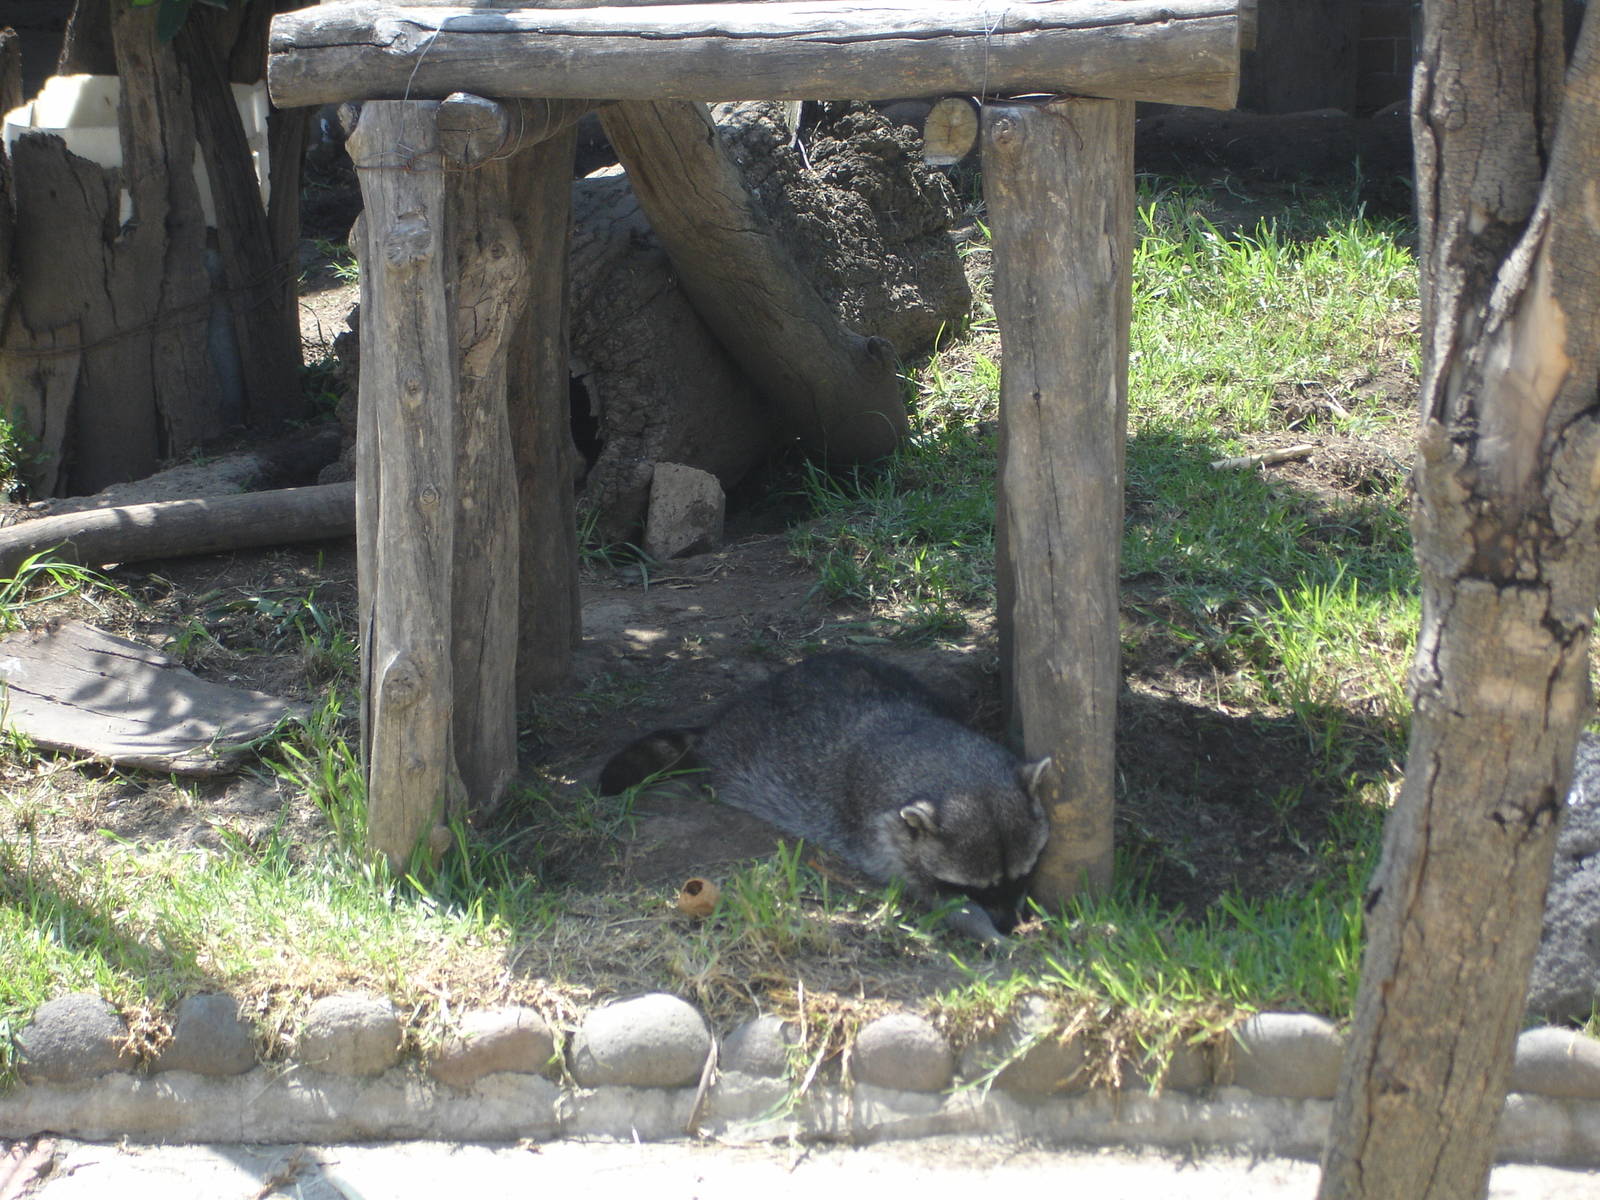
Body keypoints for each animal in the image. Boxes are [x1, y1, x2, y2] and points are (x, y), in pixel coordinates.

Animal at [599, 651, 1051, 941]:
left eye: (1022, 876)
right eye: (973, 888)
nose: (1008, 923)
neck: (939, 755)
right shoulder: (883, 837)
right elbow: (937, 901)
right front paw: (980, 927)